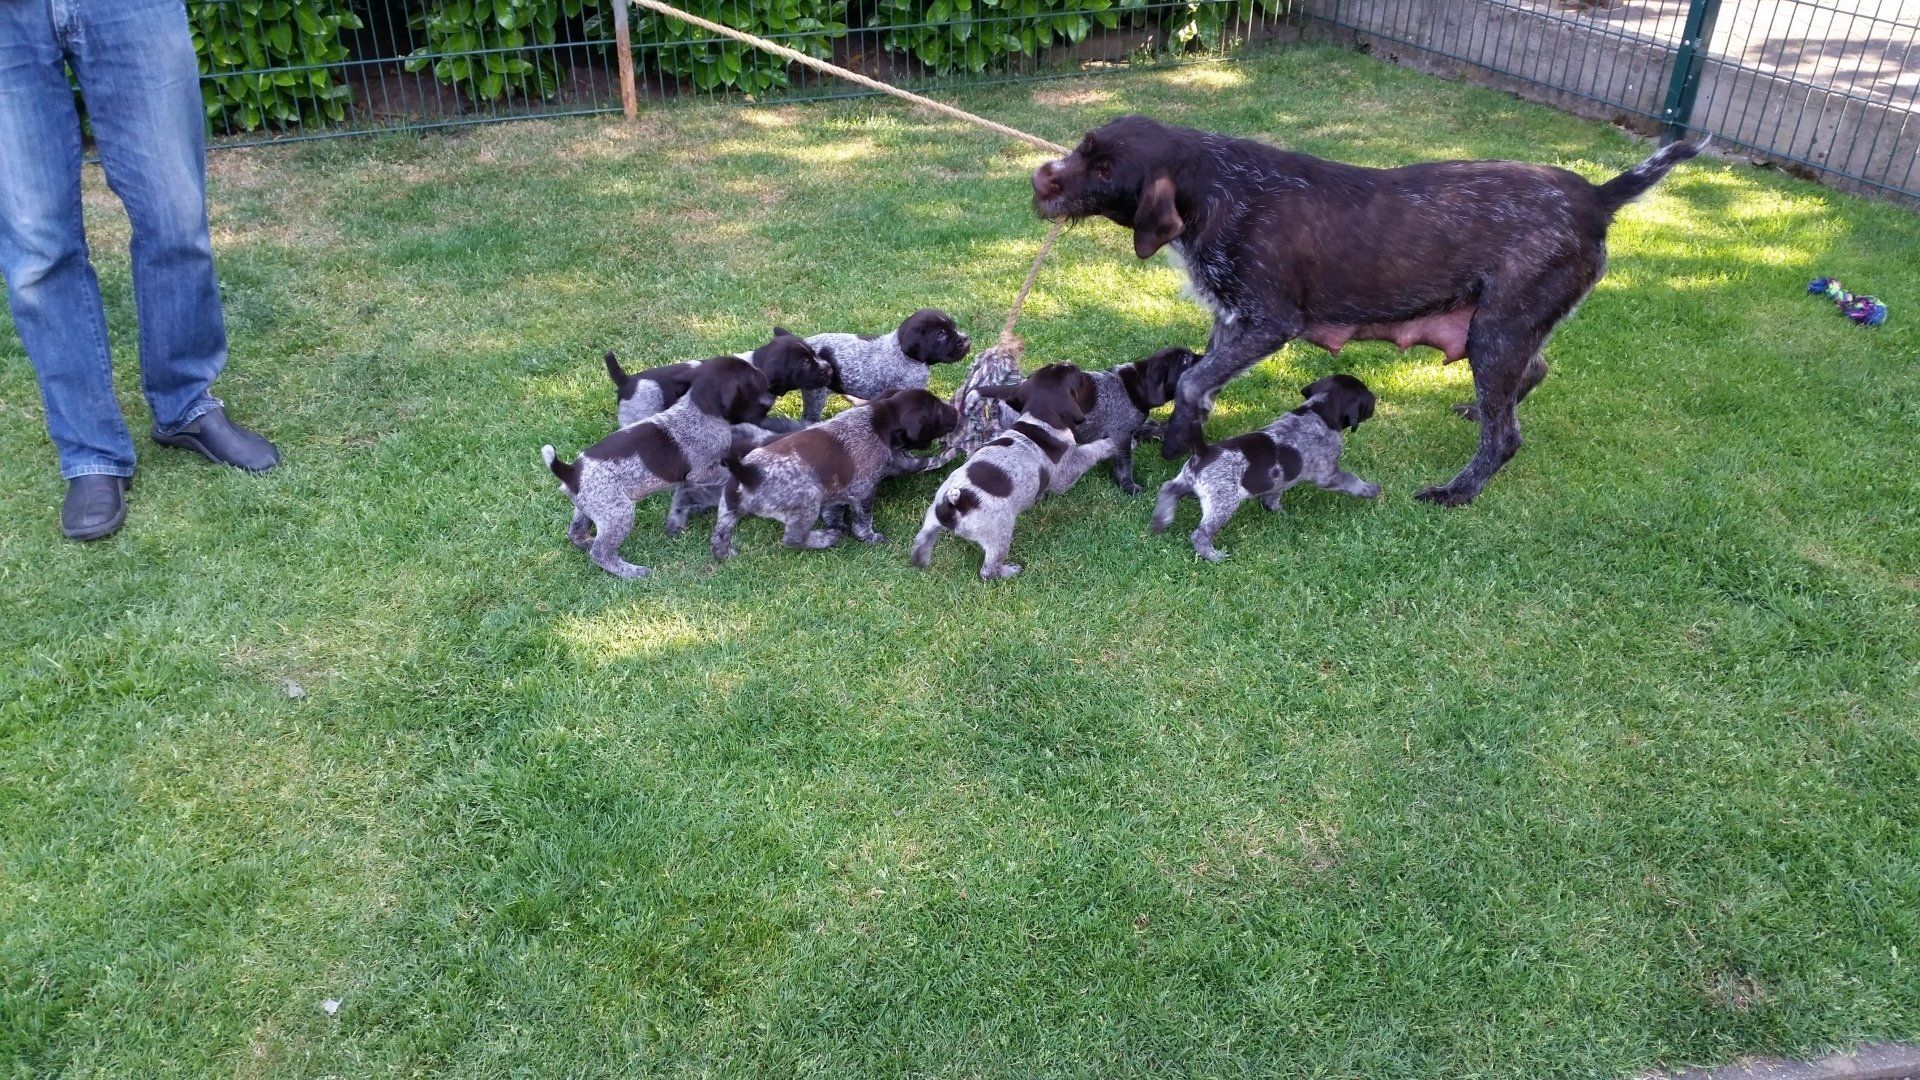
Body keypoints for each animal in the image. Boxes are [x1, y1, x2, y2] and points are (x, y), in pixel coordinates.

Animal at [543, 356, 773, 578]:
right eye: (750, 375)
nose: (763, 373)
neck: (699, 409)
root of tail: (570, 472)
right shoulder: (700, 472)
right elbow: (723, 473)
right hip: (618, 513)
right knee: (601, 553)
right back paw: (632, 571)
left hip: (588, 508)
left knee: (575, 532)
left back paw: (587, 542)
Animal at [606, 328, 830, 428]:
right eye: (804, 363)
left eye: (814, 354)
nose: (829, 369)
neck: (755, 365)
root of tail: (627, 382)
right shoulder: (753, 417)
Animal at [709, 389, 959, 561]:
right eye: (938, 410)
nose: (956, 410)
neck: (880, 420)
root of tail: (749, 473)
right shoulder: (864, 491)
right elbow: (862, 523)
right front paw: (869, 538)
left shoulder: (840, 487)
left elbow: (836, 509)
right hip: (808, 502)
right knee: (793, 539)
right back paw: (825, 539)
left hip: (727, 508)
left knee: (718, 537)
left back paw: (725, 553)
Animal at [909, 363, 1112, 579]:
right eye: (1069, 372)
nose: (1072, 364)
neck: (1039, 419)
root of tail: (955, 503)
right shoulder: (1066, 474)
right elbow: (1090, 452)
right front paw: (1111, 444)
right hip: (1000, 533)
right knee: (988, 571)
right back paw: (1009, 571)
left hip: (931, 519)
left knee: (920, 545)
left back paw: (921, 561)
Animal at [1152, 374, 1379, 562]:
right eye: (1367, 396)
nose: (1376, 400)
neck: (1319, 409)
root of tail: (1203, 451)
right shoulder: (1328, 474)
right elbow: (1351, 480)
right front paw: (1370, 490)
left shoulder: (1279, 480)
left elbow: (1273, 496)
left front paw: (1279, 512)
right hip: (1223, 504)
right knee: (1200, 534)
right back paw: (1213, 555)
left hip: (1186, 482)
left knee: (1167, 489)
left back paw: (1161, 519)